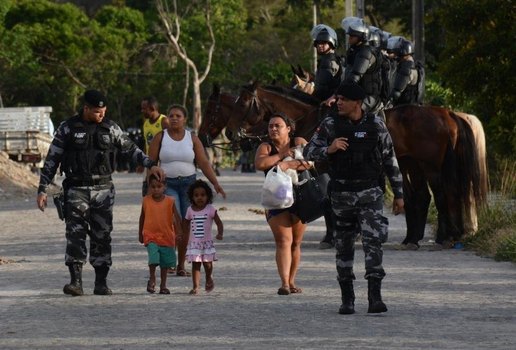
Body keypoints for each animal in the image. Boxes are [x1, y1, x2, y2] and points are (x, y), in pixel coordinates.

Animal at [224, 82, 486, 246]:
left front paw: (332, 237)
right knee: (425, 196)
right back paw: (414, 239)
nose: (229, 133)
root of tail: (448, 113)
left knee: (444, 194)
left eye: (243, 103)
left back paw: (444, 236)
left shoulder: (326, 168)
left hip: (430, 165)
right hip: (411, 163)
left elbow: (329, 203)